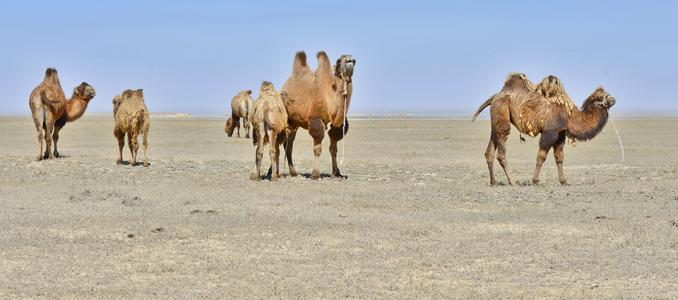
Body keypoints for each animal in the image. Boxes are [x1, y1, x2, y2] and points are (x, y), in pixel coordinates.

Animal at [282, 50, 356, 179]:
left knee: (289, 142)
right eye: (338, 60)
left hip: (294, 123)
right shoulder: (316, 118)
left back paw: (293, 173)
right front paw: (315, 174)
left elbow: (333, 148)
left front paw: (337, 173)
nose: (349, 60)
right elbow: (317, 148)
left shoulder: (337, 124)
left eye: (355, 61)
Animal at [476, 73, 620, 185]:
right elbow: (541, 156)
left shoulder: (560, 133)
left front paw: (564, 181)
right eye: (600, 97)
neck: (569, 116)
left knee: (490, 151)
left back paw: (494, 182)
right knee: (501, 151)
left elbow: (559, 157)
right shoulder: (550, 132)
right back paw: (512, 182)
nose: (614, 99)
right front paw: (535, 181)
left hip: (496, 120)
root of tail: (496, 96)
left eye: (607, 94)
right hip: (502, 113)